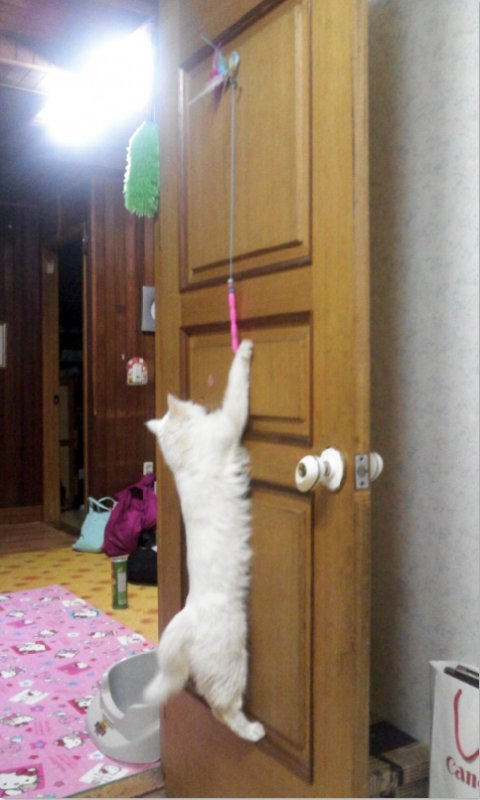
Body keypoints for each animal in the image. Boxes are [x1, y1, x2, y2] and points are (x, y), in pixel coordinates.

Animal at [144, 339, 265, 742]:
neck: (183, 458)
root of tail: (188, 618)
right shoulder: (230, 421)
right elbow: (236, 382)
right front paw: (244, 349)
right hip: (233, 657)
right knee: (222, 709)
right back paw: (253, 731)